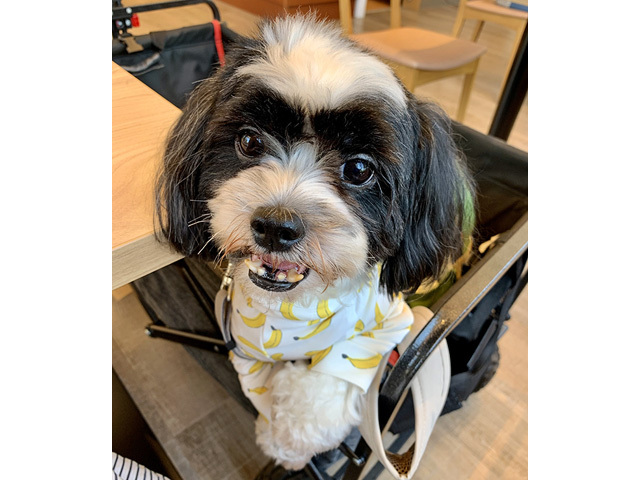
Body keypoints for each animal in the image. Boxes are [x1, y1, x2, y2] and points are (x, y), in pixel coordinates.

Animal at [155, 14, 474, 471]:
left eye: (359, 168)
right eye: (249, 141)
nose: (276, 226)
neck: (289, 314)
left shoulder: (384, 331)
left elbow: (318, 392)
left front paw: (288, 446)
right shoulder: (244, 348)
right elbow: (266, 390)